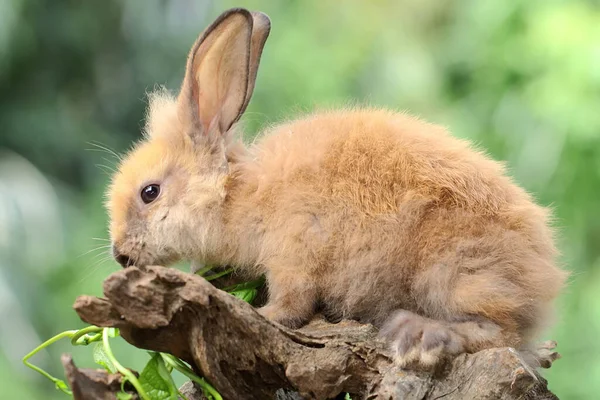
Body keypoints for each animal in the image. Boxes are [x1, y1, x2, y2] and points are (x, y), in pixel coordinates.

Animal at [104, 7, 568, 368]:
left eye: (149, 192)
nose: (120, 254)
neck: (237, 193)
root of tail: (545, 275)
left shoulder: (295, 250)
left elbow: (291, 303)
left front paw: (263, 312)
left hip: (452, 271)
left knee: (502, 331)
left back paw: (419, 334)